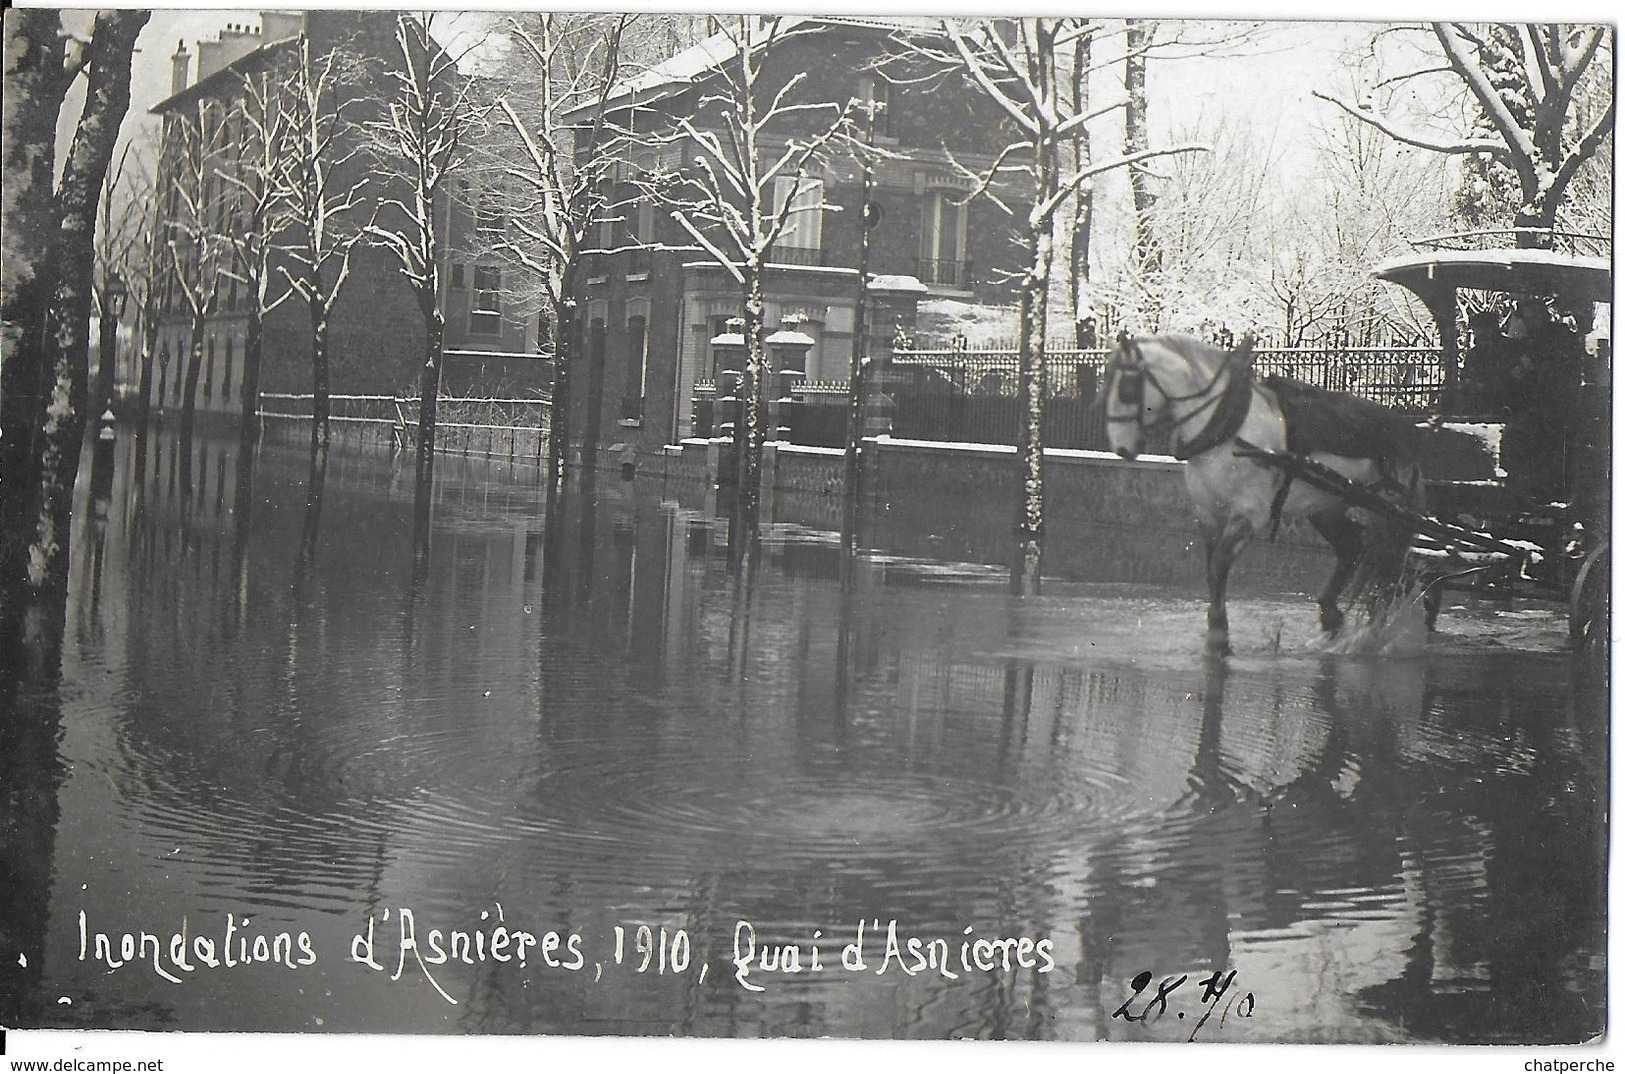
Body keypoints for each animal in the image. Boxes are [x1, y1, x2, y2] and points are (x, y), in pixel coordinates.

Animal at [1098, 333, 1430, 653]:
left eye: (1127, 387)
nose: (1121, 448)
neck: (1229, 429)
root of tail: (1408, 432)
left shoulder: (1249, 515)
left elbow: (1219, 566)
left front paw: (1219, 634)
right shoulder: (1209, 516)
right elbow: (1211, 571)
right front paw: (1216, 631)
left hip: (1389, 515)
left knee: (1390, 568)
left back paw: (1373, 631)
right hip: (1326, 507)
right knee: (1353, 549)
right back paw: (1332, 616)